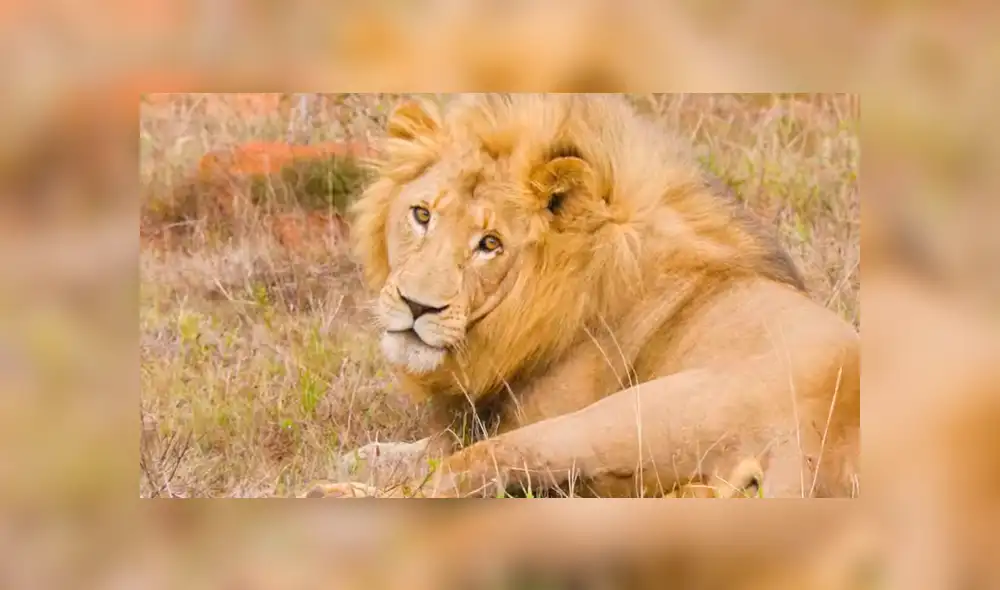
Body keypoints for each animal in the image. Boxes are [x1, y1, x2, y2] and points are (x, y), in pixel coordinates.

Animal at [301, 94, 860, 499]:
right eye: (421, 214)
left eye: (490, 244)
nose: (418, 307)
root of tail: (824, 441)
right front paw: (365, 454)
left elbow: (436, 460)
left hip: (605, 422)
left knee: (459, 480)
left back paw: (329, 495)